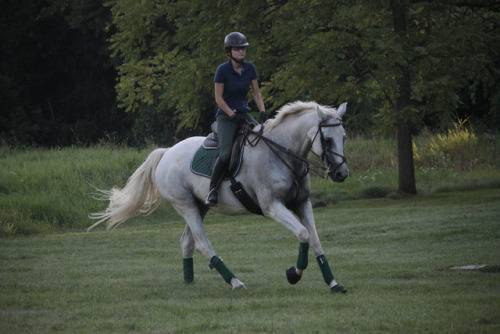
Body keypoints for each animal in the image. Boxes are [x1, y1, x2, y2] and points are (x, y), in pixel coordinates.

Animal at [89, 101, 348, 292]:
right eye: (327, 139)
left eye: (343, 137)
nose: (341, 174)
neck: (282, 154)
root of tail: (166, 153)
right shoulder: (272, 206)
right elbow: (303, 234)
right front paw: (294, 273)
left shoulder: (302, 203)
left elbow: (314, 240)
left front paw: (333, 283)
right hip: (185, 205)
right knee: (202, 244)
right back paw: (235, 282)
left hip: (199, 206)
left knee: (187, 241)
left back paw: (190, 282)